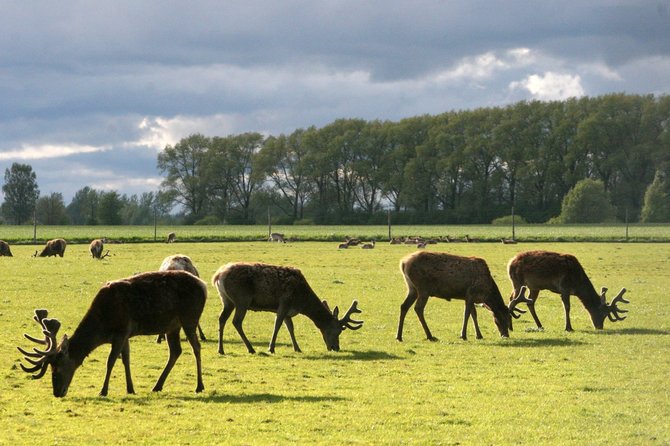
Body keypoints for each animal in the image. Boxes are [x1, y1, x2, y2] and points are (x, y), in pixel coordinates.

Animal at [18, 268, 207, 398]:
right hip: (172, 326)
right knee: (176, 351)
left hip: (189, 317)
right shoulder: (125, 334)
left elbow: (110, 361)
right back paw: (157, 386)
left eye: (56, 367)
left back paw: (199, 386)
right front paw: (130, 389)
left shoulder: (121, 331)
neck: (102, 326)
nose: (57, 392)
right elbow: (126, 360)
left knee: (196, 347)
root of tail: (203, 285)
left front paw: (103, 390)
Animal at [214, 262, 362, 356]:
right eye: (338, 331)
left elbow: (290, 328)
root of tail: (218, 275)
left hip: (227, 300)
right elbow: (277, 325)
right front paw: (271, 348)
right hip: (242, 299)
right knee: (236, 321)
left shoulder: (288, 312)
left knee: (222, 319)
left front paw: (297, 348)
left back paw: (221, 350)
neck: (301, 301)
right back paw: (251, 349)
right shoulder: (284, 303)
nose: (336, 348)